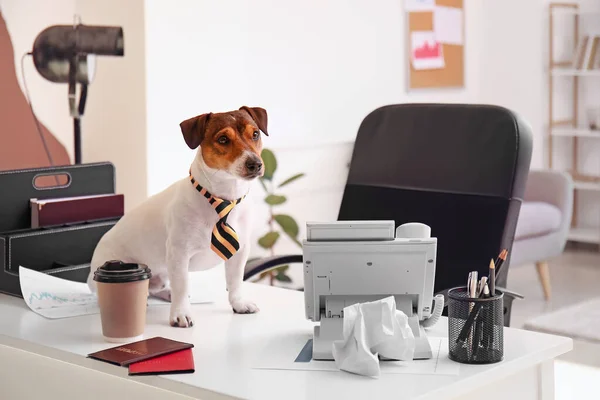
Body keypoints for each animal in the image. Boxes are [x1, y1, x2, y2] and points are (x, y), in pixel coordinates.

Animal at [86, 106, 268, 328]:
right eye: (223, 139)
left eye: (255, 134)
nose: (255, 164)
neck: (222, 200)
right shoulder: (179, 253)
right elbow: (182, 285)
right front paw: (181, 313)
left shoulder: (240, 252)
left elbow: (235, 282)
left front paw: (239, 304)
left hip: (162, 275)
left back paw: (166, 293)